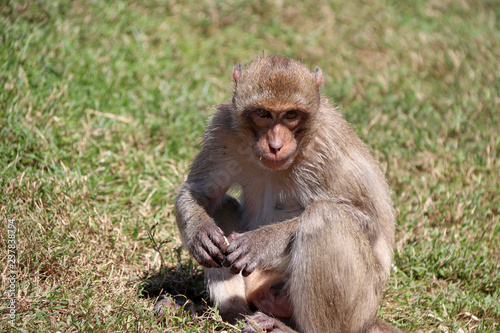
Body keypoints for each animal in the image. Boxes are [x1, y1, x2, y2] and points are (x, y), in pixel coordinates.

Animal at [176, 55, 402, 332]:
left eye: (291, 115)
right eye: (263, 114)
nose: (275, 145)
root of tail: (372, 320)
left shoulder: (329, 143)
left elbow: (367, 220)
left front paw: (262, 242)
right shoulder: (223, 130)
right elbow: (200, 192)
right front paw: (200, 233)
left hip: (361, 309)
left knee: (324, 216)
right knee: (220, 205)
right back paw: (232, 315)